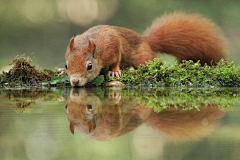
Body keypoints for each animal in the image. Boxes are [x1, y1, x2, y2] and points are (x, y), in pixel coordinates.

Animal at [64, 12, 226, 87]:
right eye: (66, 65)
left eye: (89, 66)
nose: (75, 81)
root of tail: (146, 40)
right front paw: (60, 71)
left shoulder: (112, 44)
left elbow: (116, 59)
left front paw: (114, 71)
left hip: (143, 56)